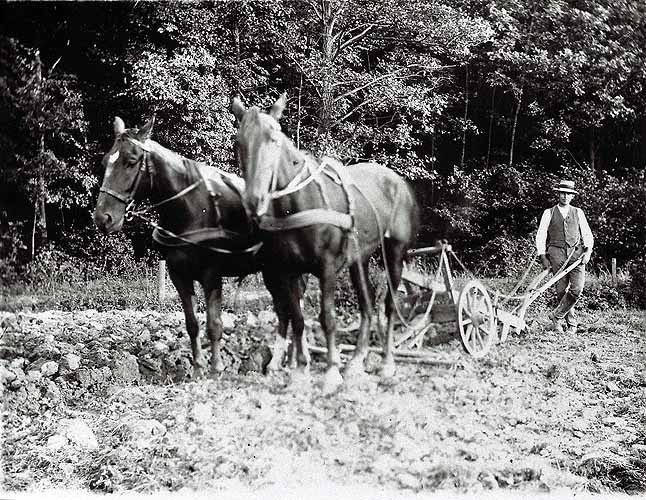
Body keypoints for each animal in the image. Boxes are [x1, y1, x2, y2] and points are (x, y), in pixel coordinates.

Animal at [93, 115, 304, 376]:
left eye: (131, 161)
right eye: (105, 161)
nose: (103, 218)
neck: (189, 208)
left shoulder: (211, 275)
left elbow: (214, 324)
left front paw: (216, 368)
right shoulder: (178, 275)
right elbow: (192, 323)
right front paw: (197, 369)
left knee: (294, 309)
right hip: (272, 272)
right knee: (286, 310)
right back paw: (281, 362)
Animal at [233, 93, 420, 390]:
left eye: (274, 139)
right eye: (240, 142)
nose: (254, 201)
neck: (300, 203)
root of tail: (398, 182)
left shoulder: (327, 267)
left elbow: (327, 316)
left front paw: (331, 370)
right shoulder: (287, 270)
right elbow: (297, 317)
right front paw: (300, 371)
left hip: (395, 251)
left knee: (389, 305)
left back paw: (387, 363)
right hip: (359, 258)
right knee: (367, 303)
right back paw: (356, 360)